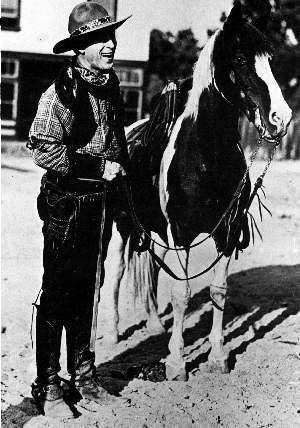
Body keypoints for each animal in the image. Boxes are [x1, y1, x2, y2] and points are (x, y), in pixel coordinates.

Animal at [102, 0, 292, 382]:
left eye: (270, 59)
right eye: (240, 59)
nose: (282, 118)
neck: (206, 155)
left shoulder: (226, 232)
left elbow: (218, 290)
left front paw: (218, 356)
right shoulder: (182, 232)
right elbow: (182, 291)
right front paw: (177, 363)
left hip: (154, 232)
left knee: (152, 268)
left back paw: (155, 324)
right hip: (122, 228)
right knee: (115, 274)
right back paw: (114, 333)